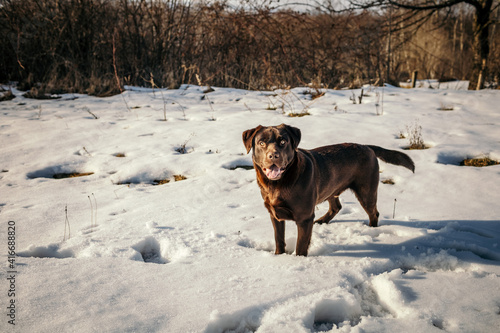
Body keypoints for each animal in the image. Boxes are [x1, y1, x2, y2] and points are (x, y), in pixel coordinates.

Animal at [243, 123, 414, 255]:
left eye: (283, 141)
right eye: (262, 143)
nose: (273, 156)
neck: (277, 184)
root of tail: (367, 146)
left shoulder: (304, 219)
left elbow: (301, 246)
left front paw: (298, 260)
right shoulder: (274, 215)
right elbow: (279, 240)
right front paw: (278, 256)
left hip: (366, 191)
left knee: (373, 212)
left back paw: (371, 230)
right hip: (332, 188)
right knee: (336, 207)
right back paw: (322, 221)